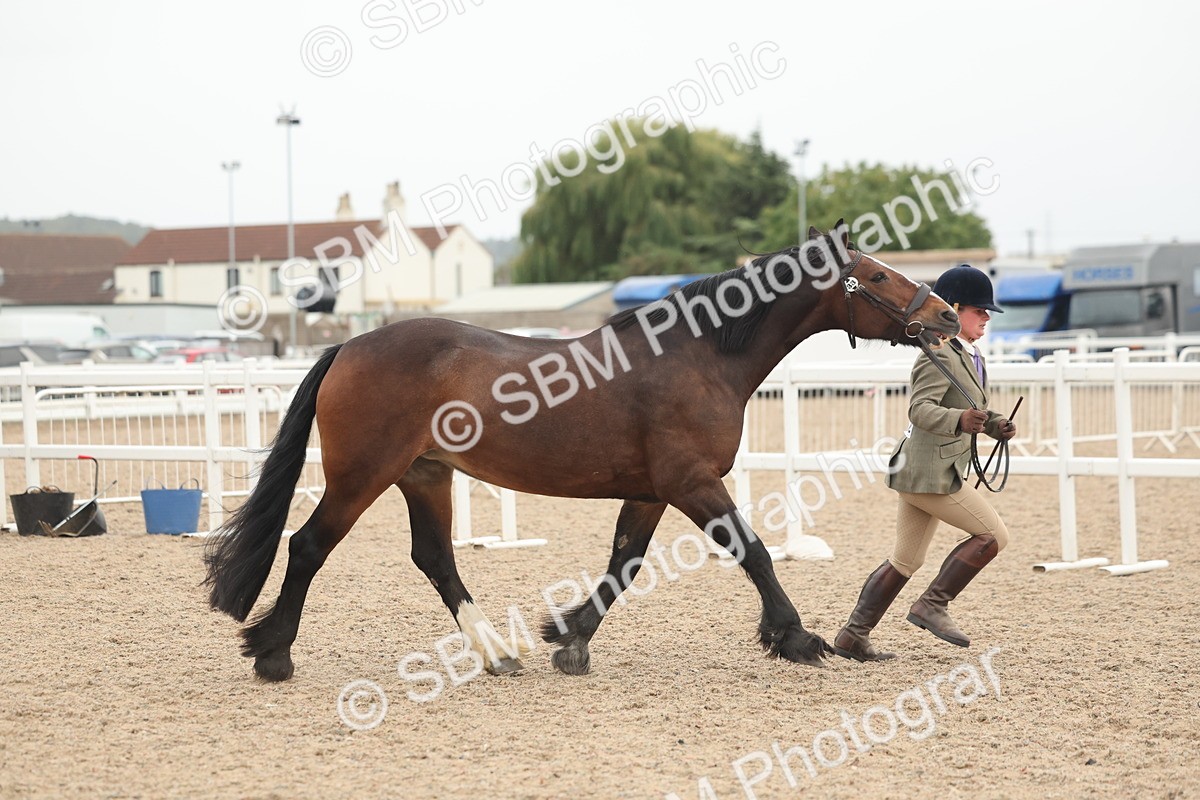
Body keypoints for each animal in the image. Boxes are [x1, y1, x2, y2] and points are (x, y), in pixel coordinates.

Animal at [204, 222, 960, 682]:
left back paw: (497, 653)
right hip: (362, 476)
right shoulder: (691, 484)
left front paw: (569, 637)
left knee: (436, 559)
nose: (947, 315)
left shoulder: (651, 492)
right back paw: (273, 654)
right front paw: (795, 638)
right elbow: (755, 553)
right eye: (877, 276)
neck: (698, 356)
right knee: (308, 547)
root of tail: (348, 346)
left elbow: (622, 565)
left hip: (425, 476)